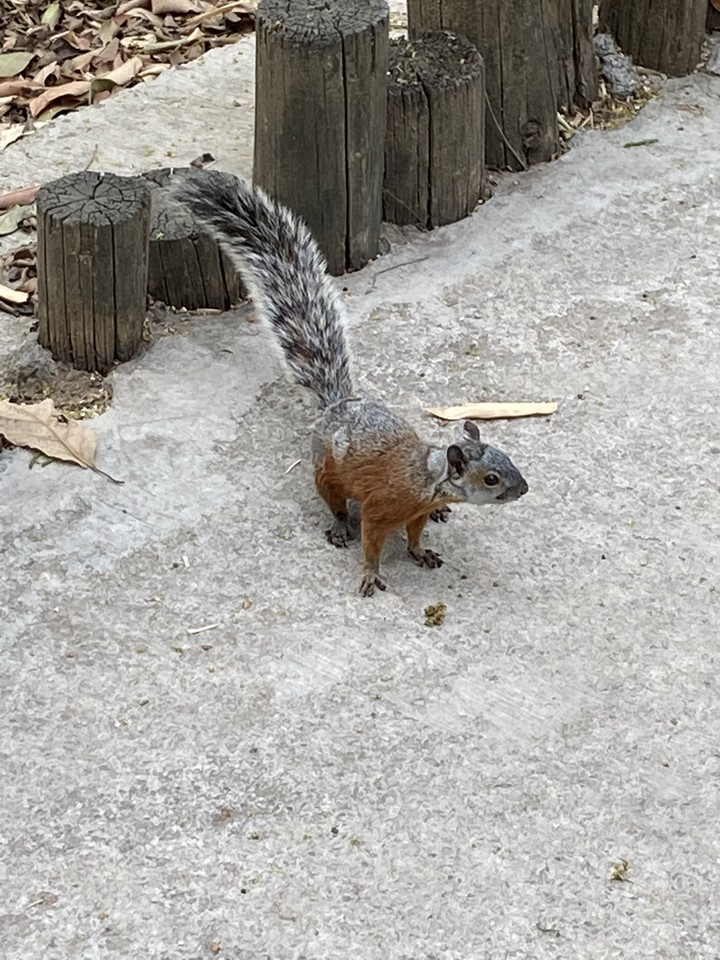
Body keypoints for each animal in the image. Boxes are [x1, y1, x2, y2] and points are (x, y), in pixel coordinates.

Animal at [173, 170, 528, 597]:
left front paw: (421, 551)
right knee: (336, 504)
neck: (427, 478)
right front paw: (372, 573)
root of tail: (336, 404)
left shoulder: (416, 512)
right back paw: (339, 526)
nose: (524, 489)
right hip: (325, 473)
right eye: (491, 478)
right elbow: (372, 539)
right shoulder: (381, 507)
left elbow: (414, 535)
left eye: (508, 458)